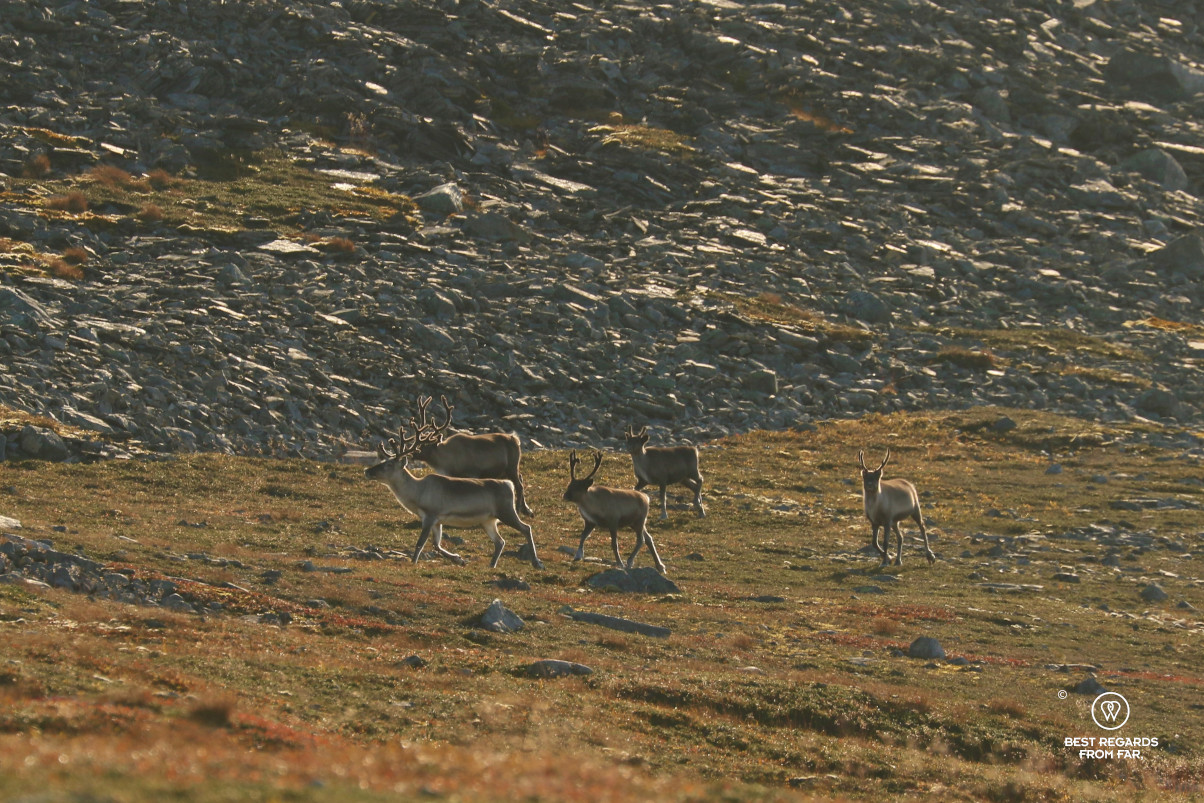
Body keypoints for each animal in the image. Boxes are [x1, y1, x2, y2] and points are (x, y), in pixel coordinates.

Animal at [364, 417, 543, 570]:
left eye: (388, 464)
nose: (367, 471)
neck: (416, 493)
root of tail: (508, 485)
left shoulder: (431, 515)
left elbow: (420, 543)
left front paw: (413, 562)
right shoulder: (437, 520)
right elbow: (436, 545)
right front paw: (459, 559)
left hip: (505, 511)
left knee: (526, 528)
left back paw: (536, 562)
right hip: (488, 520)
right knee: (500, 541)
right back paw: (492, 565)